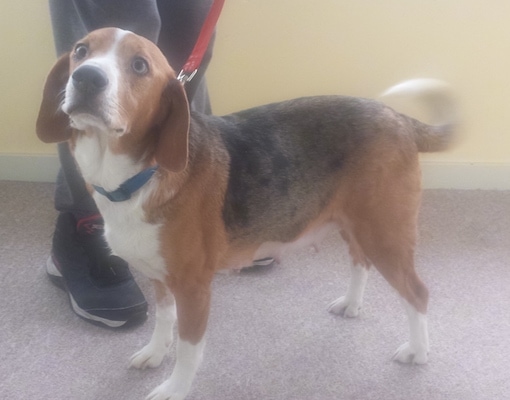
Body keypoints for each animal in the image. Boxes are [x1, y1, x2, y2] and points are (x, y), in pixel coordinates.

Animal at [36, 28, 458, 400]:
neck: (137, 177)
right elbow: (163, 321)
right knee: (360, 262)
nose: (86, 77)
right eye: (80, 50)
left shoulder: (193, 288)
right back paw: (352, 305)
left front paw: (176, 388)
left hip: (384, 233)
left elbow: (188, 349)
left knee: (417, 293)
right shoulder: (159, 277)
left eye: (139, 65)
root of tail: (398, 118)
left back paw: (417, 351)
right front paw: (155, 353)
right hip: (356, 224)